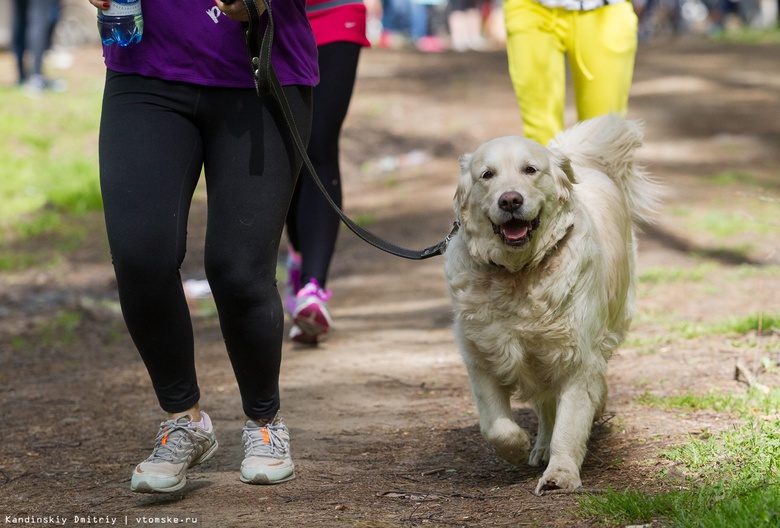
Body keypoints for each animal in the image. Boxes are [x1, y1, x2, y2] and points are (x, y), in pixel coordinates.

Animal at [444, 115, 660, 496]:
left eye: (530, 169)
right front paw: (517, 446)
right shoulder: (481, 356)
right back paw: (540, 446)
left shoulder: (578, 358)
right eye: (487, 174)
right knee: (545, 404)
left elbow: (570, 424)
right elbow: (495, 426)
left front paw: (561, 474)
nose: (510, 200)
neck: (518, 275)